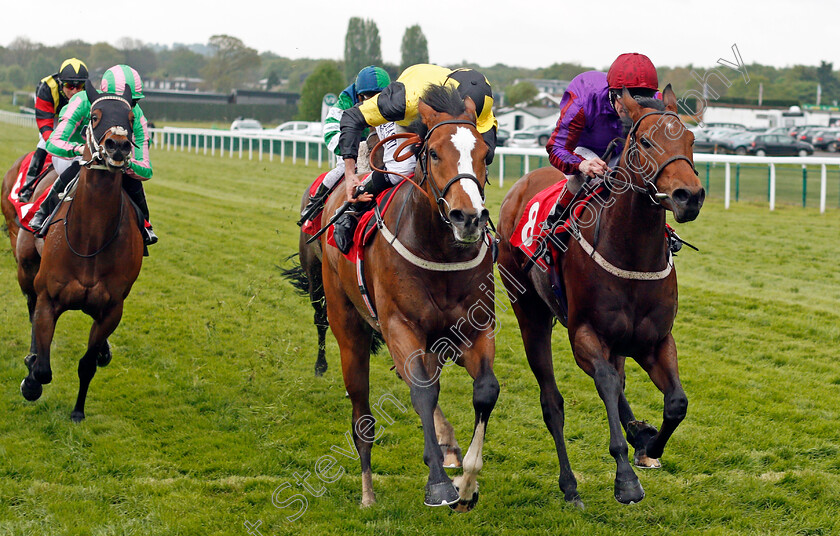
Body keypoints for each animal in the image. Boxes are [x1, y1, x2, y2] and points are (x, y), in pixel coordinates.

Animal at [17, 84, 145, 420]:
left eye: (130, 118)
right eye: (94, 116)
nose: (117, 145)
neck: (91, 238)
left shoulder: (111, 309)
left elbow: (87, 364)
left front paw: (77, 411)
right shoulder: (49, 298)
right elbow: (43, 368)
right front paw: (31, 382)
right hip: (25, 268)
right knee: (30, 305)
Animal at [318, 85, 496, 510]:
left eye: (485, 154)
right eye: (433, 153)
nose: (469, 218)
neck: (440, 251)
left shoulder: (476, 329)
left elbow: (485, 390)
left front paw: (467, 483)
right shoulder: (401, 326)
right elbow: (422, 392)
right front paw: (439, 485)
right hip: (347, 327)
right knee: (362, 416)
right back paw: (367, 491)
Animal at [498, 87, 704, 506]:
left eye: (691, 140)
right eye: (645, 142)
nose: (689, 196)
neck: (630, 253)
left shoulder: (656, 340)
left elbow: (676, 402)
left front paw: (650, 445)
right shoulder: (584, 335)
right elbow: (606, 383)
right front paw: (625, 478)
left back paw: (638, 433)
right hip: (529, 314)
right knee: (552, 402)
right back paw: (570, 485)